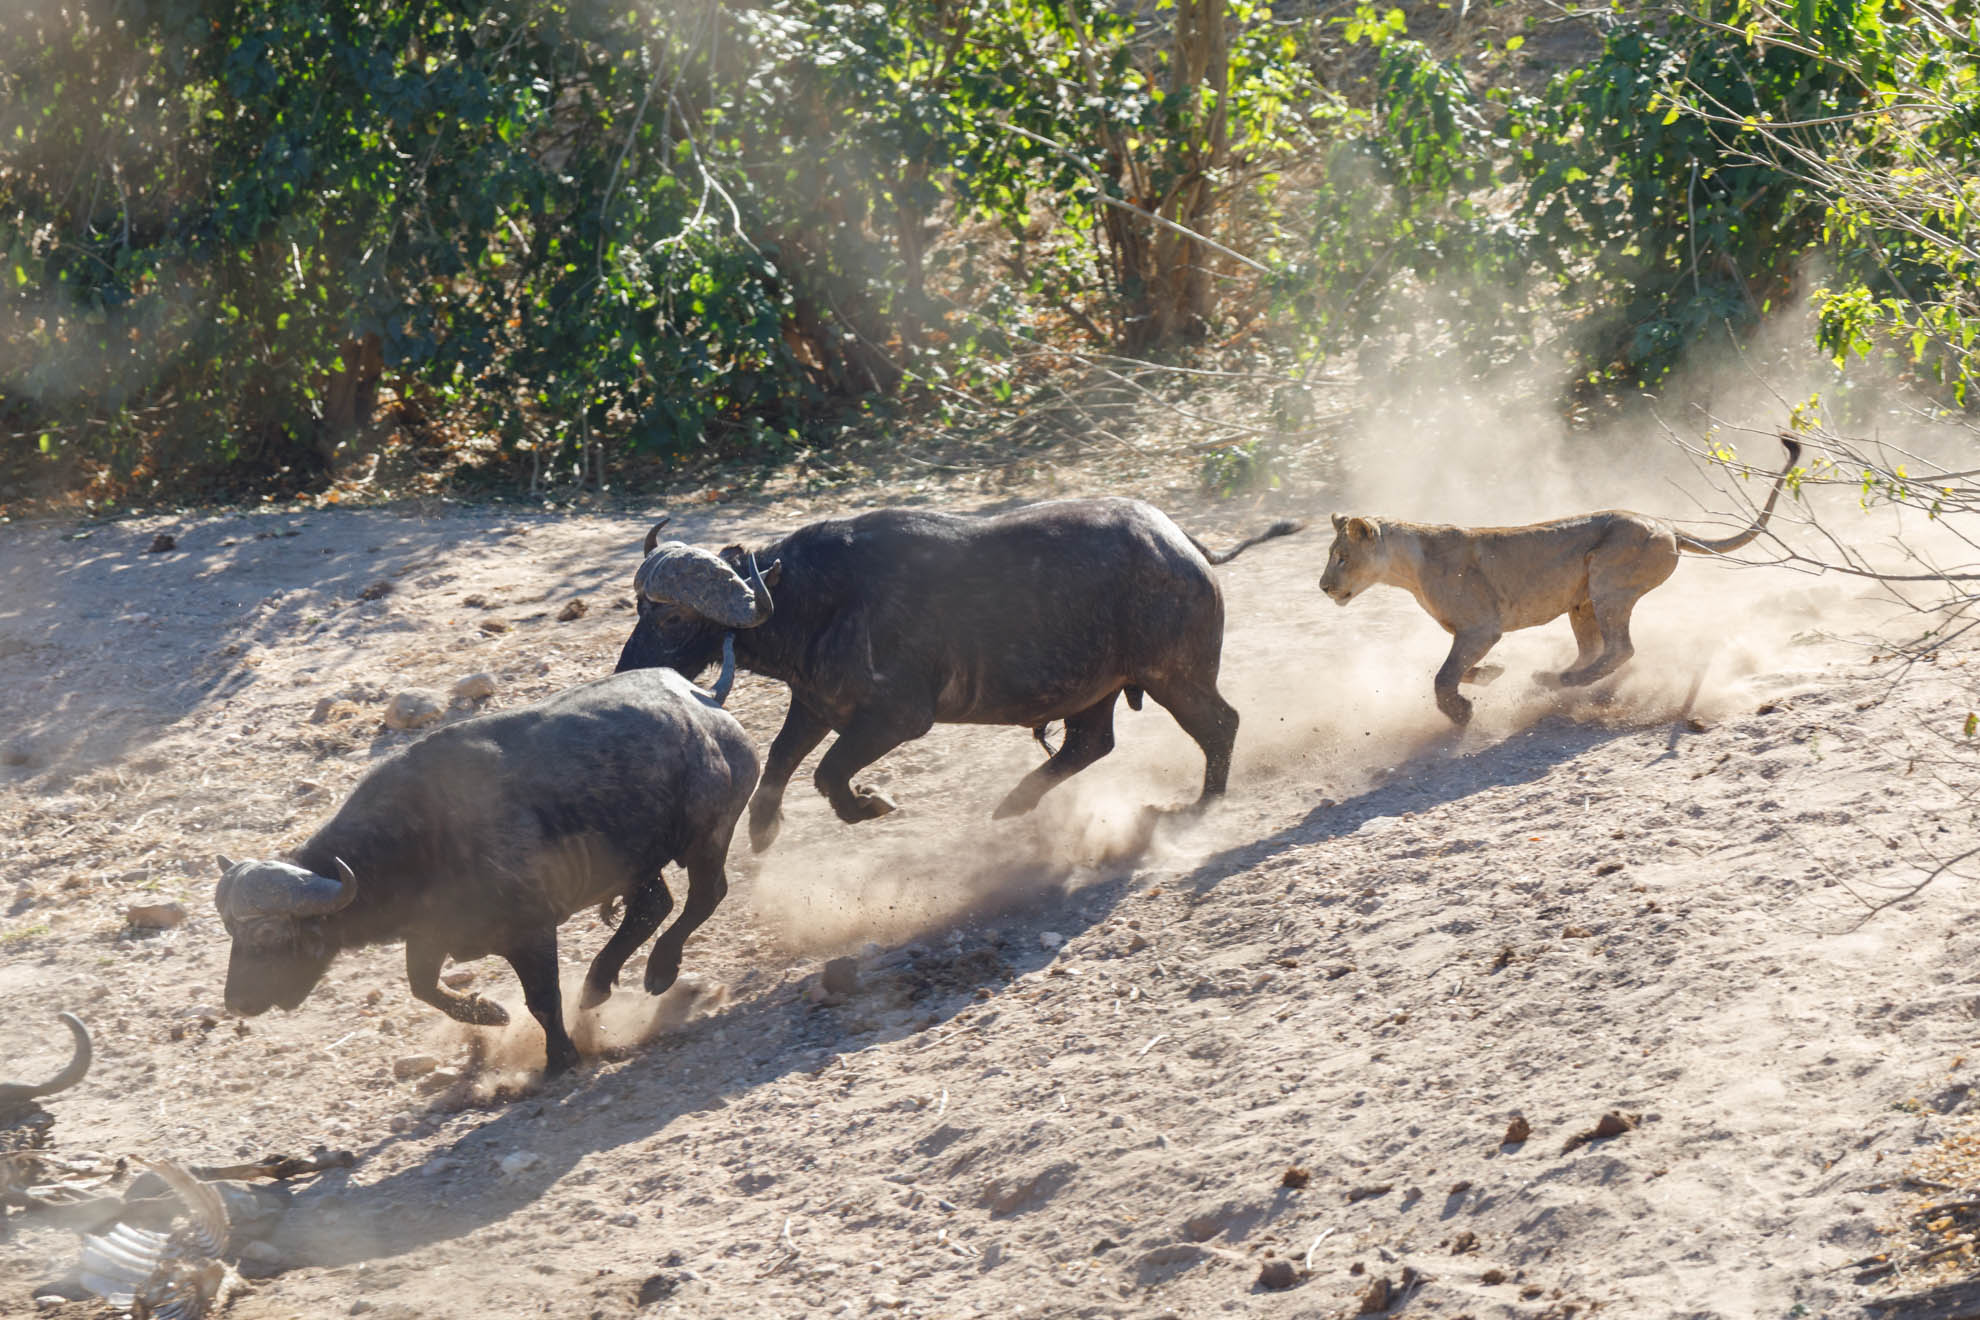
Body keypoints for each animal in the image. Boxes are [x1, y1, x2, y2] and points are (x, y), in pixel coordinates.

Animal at [1318, 437, 1802, 725]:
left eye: (1341, 557)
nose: (1323, 586)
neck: (1407, 567)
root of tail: (1665, 524)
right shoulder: (1469, 634)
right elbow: (1456, 670)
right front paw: (1489, 675)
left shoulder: (1481, 628)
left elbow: (1442, 677)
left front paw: (1460, 713)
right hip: (1581, 602)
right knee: (1596, 650)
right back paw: (1552, 679)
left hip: (1609, 581)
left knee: (1620, 649)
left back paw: (1555, 682)